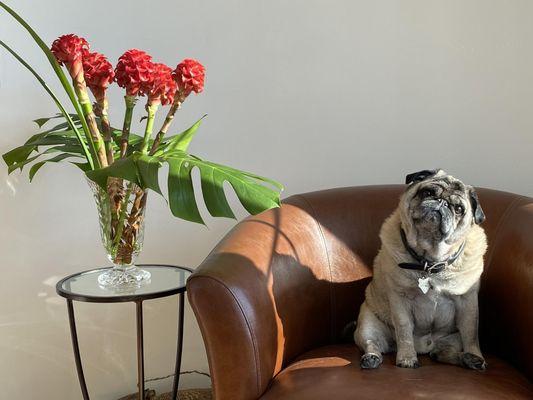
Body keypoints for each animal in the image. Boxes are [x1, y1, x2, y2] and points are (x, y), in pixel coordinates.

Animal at [354, 168, 486, 368]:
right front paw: (407, 358)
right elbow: (404, 330)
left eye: (458, 209)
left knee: (441, 353)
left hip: (451, 340)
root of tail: (425, 347)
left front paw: (476, 354)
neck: (430, 262)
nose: (442, 202)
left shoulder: (468, 301)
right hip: (368, 324)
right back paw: (371, 358)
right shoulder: (400, 299)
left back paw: (468, 359)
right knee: (372, 343)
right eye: (428, 193)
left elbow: (471, 333)